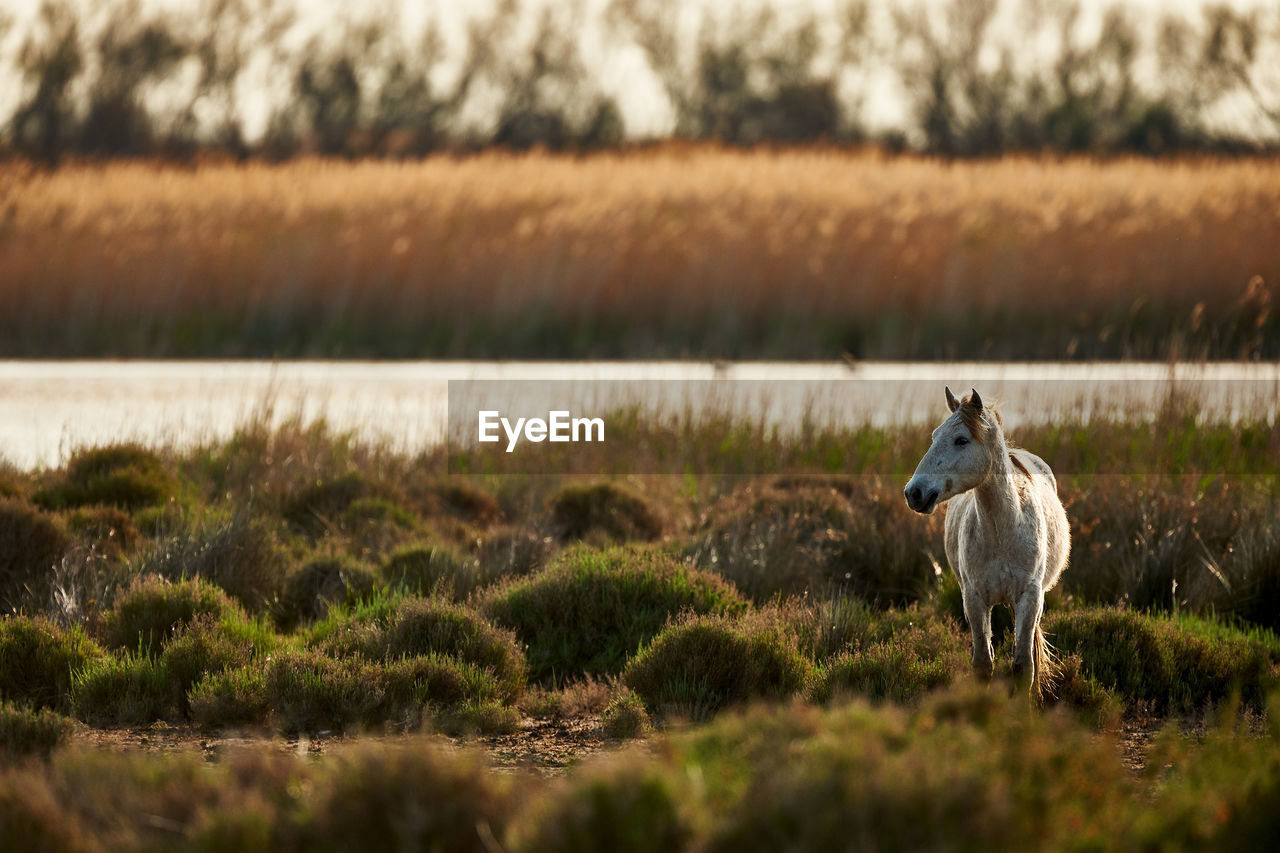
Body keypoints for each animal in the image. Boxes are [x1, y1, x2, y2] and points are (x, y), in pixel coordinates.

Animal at [901, 389, 1070, 696]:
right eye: (934, 436)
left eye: (961, 440)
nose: (914, 493)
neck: (1002, 531)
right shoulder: (974, 599)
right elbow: (983, 664)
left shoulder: (1030, 597)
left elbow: (1023, 667)